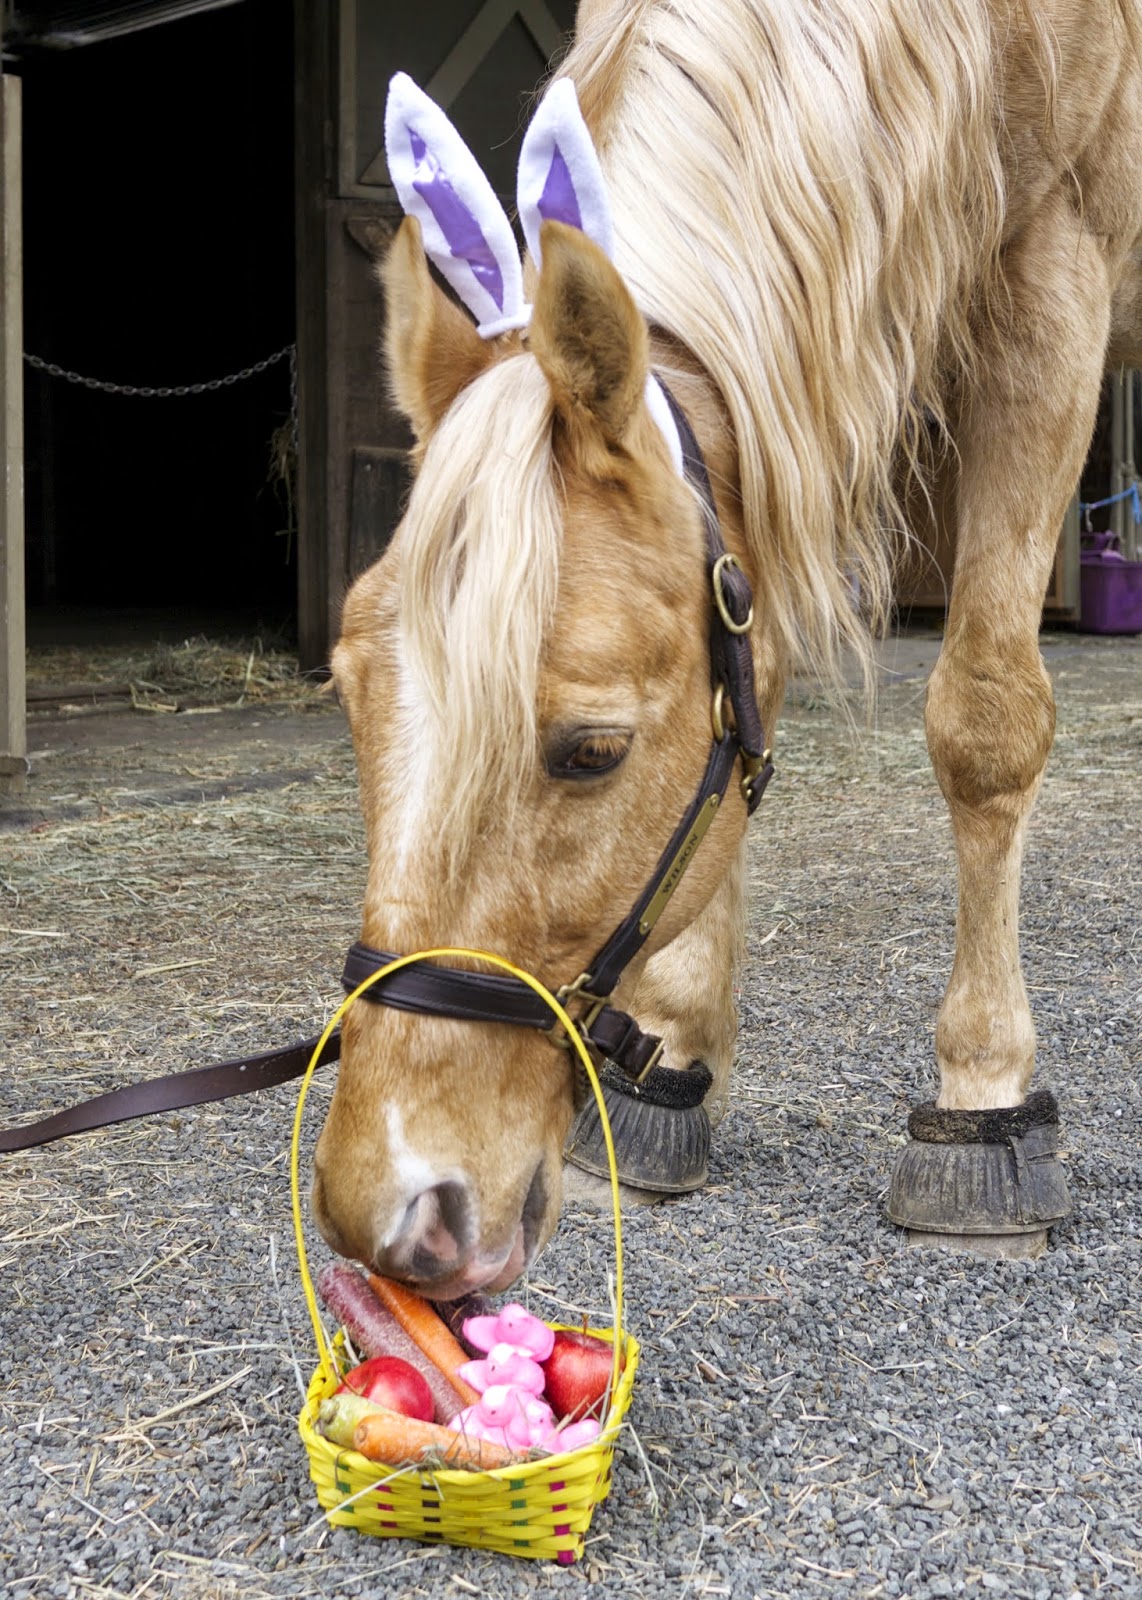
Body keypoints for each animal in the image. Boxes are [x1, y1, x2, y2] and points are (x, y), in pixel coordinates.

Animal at [312, 0, 1142, 1294]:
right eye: (349, 690)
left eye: (591, 750)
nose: (396, 1211)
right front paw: (674, 1056)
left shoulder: (1053, 271)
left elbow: (984, 722)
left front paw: (982, 1103)